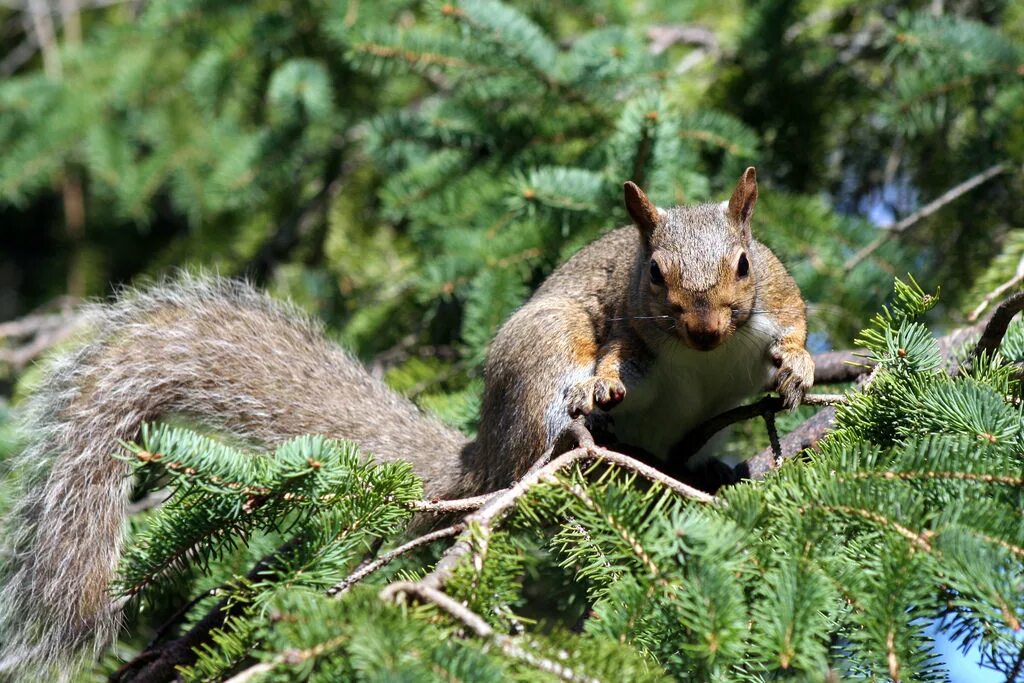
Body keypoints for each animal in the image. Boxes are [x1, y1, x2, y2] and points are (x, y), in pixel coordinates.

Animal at [2, 163, 815, 679]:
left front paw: (803, 367)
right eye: (653, 274)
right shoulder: (624, 325)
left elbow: (799, 323)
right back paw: (573, 431)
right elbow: (615, 355)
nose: (705, 330)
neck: (702, 355)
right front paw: (602, 383)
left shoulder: (777, 296)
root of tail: (482, 452)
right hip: (541, 350)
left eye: (745, 263)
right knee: (541, 438)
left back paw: (706, 466)